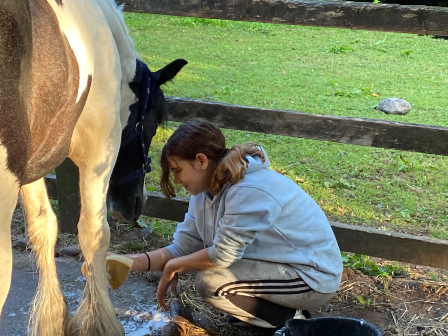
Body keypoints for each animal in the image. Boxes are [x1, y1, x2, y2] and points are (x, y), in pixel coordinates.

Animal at [0, 0, 186, 336]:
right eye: (152, 120)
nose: (136, 204)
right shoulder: (99, 148)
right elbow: (94, 233)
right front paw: (99, 322)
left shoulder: (34, 161)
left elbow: (42, 226)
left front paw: (54, 320)